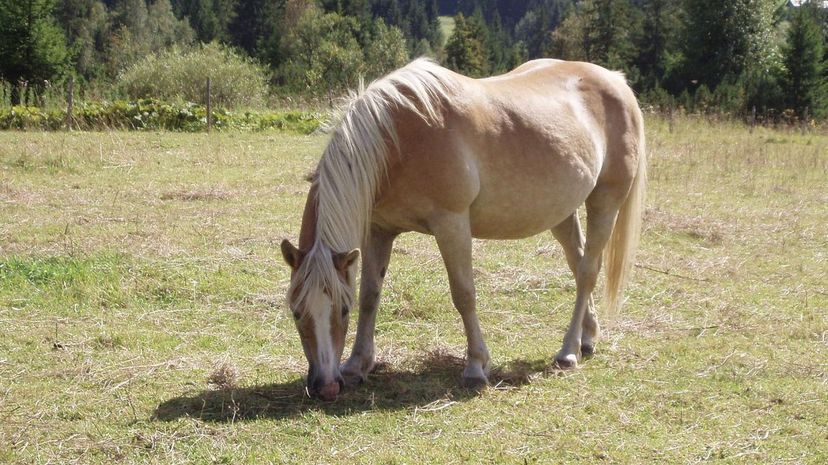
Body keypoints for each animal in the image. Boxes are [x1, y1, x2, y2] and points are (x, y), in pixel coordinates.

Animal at [282, 57, 652, 398]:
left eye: (341, 310)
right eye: (297, 312)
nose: (326, 387)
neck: (397, 139)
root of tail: (615, 80)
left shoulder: (452, 224)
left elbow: (464, 294)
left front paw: (476, 367)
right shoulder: (379, 231)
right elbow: (371, 295)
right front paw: (358, 364)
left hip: (605, 201)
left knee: (588, 271)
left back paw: (569, 351)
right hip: (562, 212)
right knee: (578, 265)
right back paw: (588, 337)